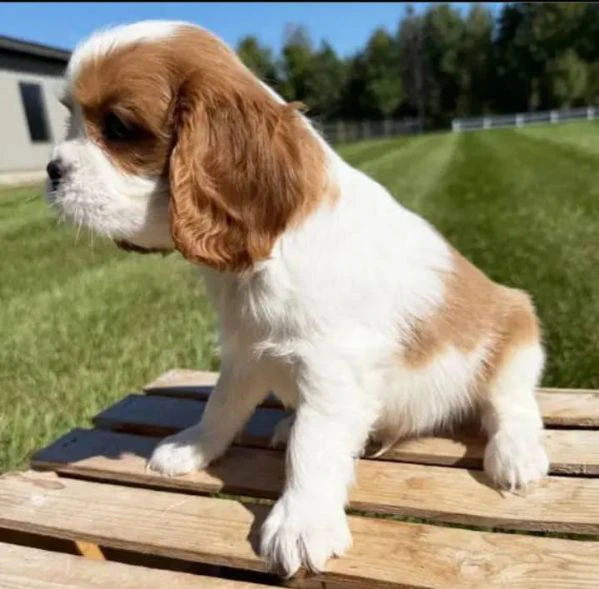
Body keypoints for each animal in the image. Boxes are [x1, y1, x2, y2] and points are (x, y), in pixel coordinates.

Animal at [47, 20, 552, 576]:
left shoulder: (333, 367)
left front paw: (302, 523)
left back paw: (516, 453)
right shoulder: (245, 351)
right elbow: (221, 406)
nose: (51, 171)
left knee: (510, 403)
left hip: (515, 328)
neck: (257, 261)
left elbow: (314, 448)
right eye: (71, 117)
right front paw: (193, 447)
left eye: (118, 128)